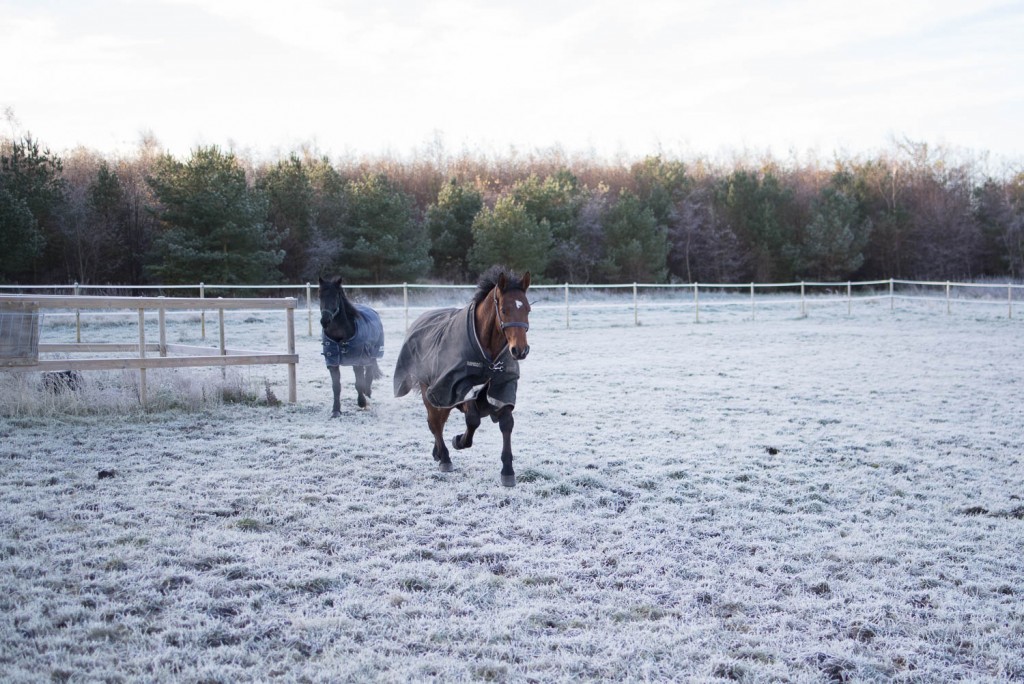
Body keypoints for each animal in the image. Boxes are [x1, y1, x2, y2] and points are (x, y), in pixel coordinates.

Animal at [315, 276, 385, 417]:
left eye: (336, 295)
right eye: (320, 295)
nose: (325, 321)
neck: (340, 337)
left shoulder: (356, 360)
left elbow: (358, 384)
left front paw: (362, 403)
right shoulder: (332, 363)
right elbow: (336, 387)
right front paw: (336, 410)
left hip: (372, 354)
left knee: (369, 372)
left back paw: (368, 393)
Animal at [393, 266, 532, 485]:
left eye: (527, 309)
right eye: (504, 310)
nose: (520, 350)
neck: (488, 355)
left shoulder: (502, 388)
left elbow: (507, 424)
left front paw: (508, 470)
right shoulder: (458, 387)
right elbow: (472, 421)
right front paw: (458, 441)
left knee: (438, 422)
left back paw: (437, 453)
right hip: (431, 392)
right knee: (435, 423)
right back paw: (444, 458)